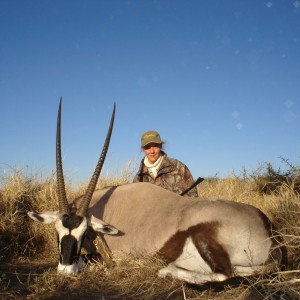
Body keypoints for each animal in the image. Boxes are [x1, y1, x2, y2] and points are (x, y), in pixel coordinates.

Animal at [28, 99, 288, 284]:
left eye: (83, 233)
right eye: (57, 232)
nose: (66, 270)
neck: (105, 207)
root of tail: (270, 231)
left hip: (205, 238)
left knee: (226, 273)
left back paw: (166, 270)